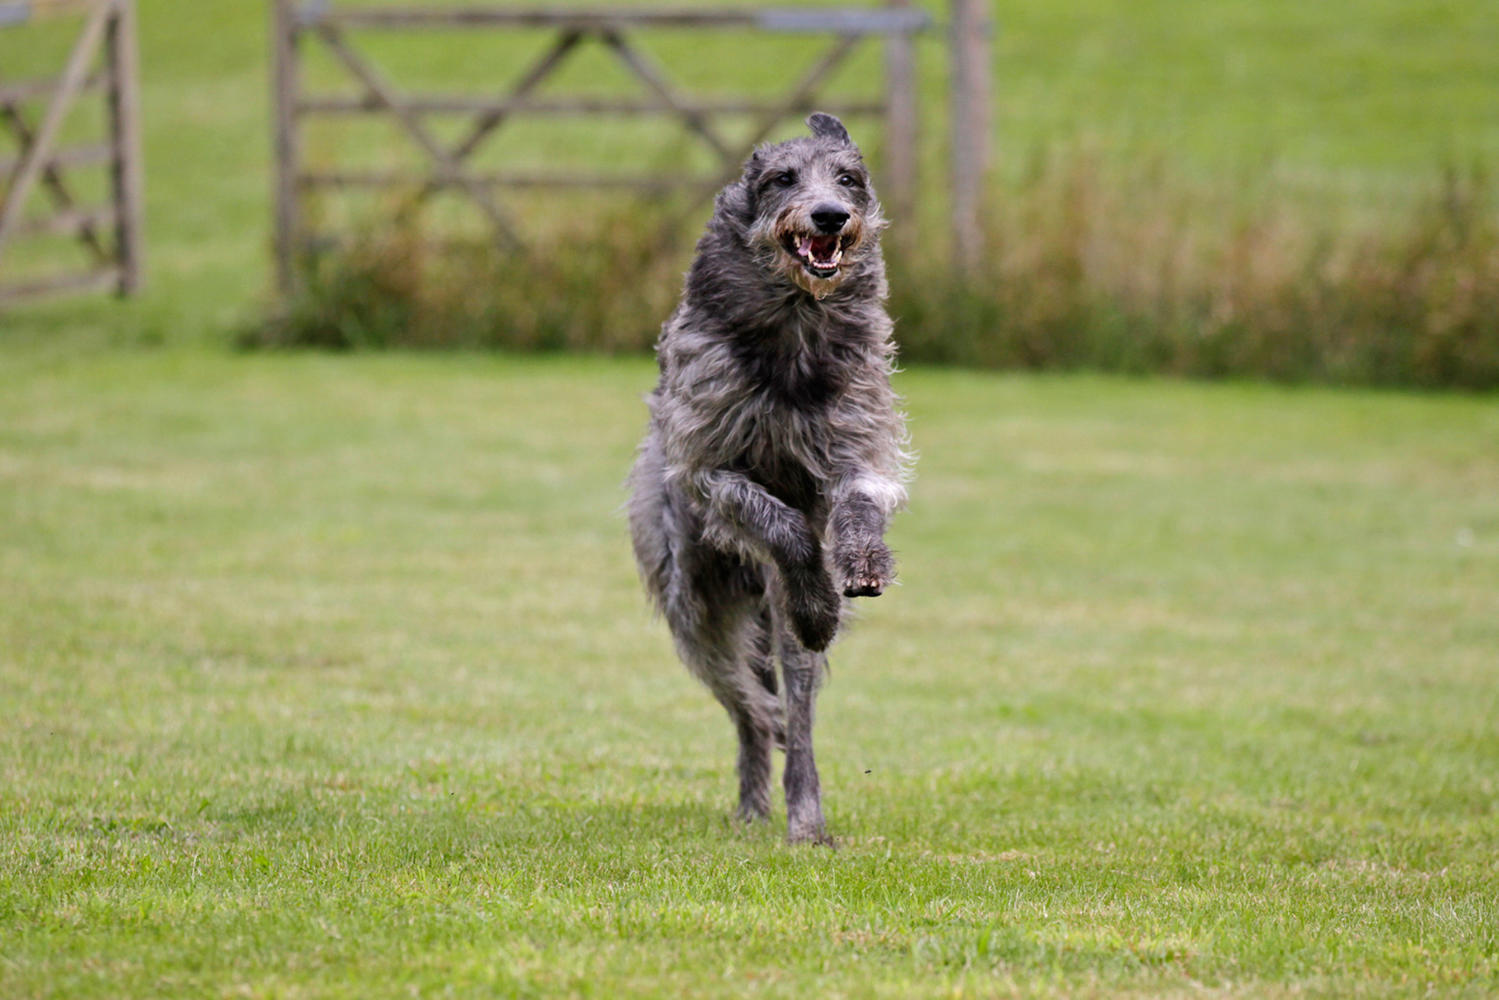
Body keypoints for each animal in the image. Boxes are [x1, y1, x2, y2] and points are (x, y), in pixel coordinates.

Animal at [627, 113, 912, 844]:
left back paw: (804, 814)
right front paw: (815, 591)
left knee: (795, 704)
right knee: (750, 707)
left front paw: (859, 566)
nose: (830, 215)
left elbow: (860, 498)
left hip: (768, 627)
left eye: (849, 178)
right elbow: (780, 522)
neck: (795, 321)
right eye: (782, 178)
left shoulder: (858, 435)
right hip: (695, 606)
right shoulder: (707, 465)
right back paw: (756, 798)